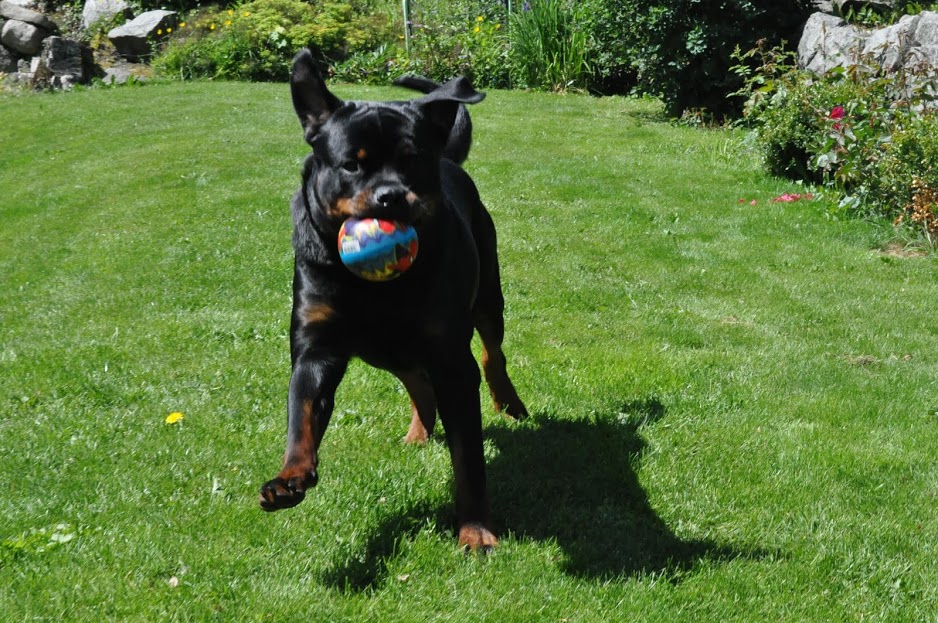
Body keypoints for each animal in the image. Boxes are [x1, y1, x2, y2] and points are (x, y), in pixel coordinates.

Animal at [258, 49, 528, 551]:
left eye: (413, 161)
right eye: (351, 164)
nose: (391, 196)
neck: (371, 286)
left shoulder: (450, 356)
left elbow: (469, 459)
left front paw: (476, 531)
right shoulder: (316, 345)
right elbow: (301, 411)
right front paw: (289, 477)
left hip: (487, 294)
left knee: (492, 353)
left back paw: (509, 402)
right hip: (383, 347)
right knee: (416, 382)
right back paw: (419, 431)